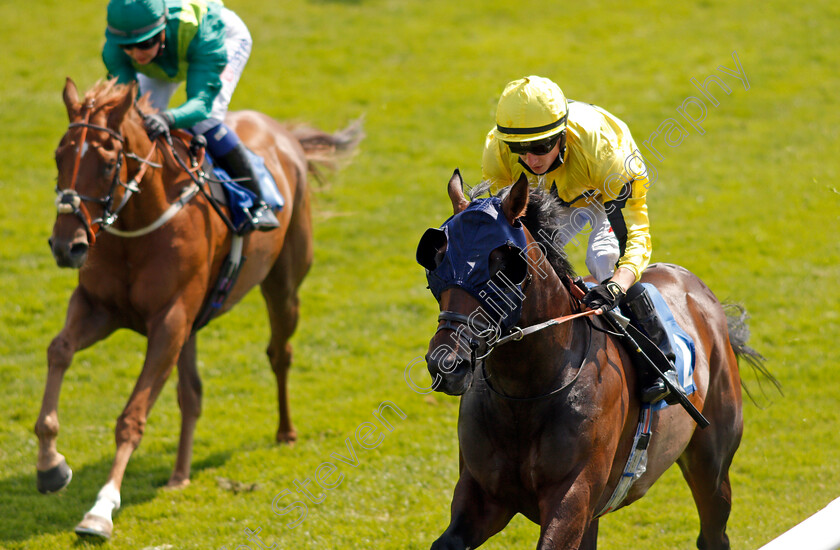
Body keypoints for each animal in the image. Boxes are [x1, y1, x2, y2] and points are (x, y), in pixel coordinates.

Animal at [37, 80, 360, 540]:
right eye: (59, 157)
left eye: (108, 163)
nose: (67, 246)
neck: (139, 226)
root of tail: (285, 134)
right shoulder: (99, 308)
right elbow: (59, 350)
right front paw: (50, 465)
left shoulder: (169, 320)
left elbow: (132, 417)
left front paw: (101, 509)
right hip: (191, 325)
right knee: (191, 393)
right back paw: (179, 474)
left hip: (283, 286)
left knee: (279, 353)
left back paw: (285, 432)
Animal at [420, 172, 776, 550]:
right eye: (439, 261)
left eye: (503, 267)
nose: (446, 362)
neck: (526, 393)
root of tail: (696, 288)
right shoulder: (484, 495)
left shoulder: (573, 495)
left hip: (711, 462)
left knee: (713, 532)